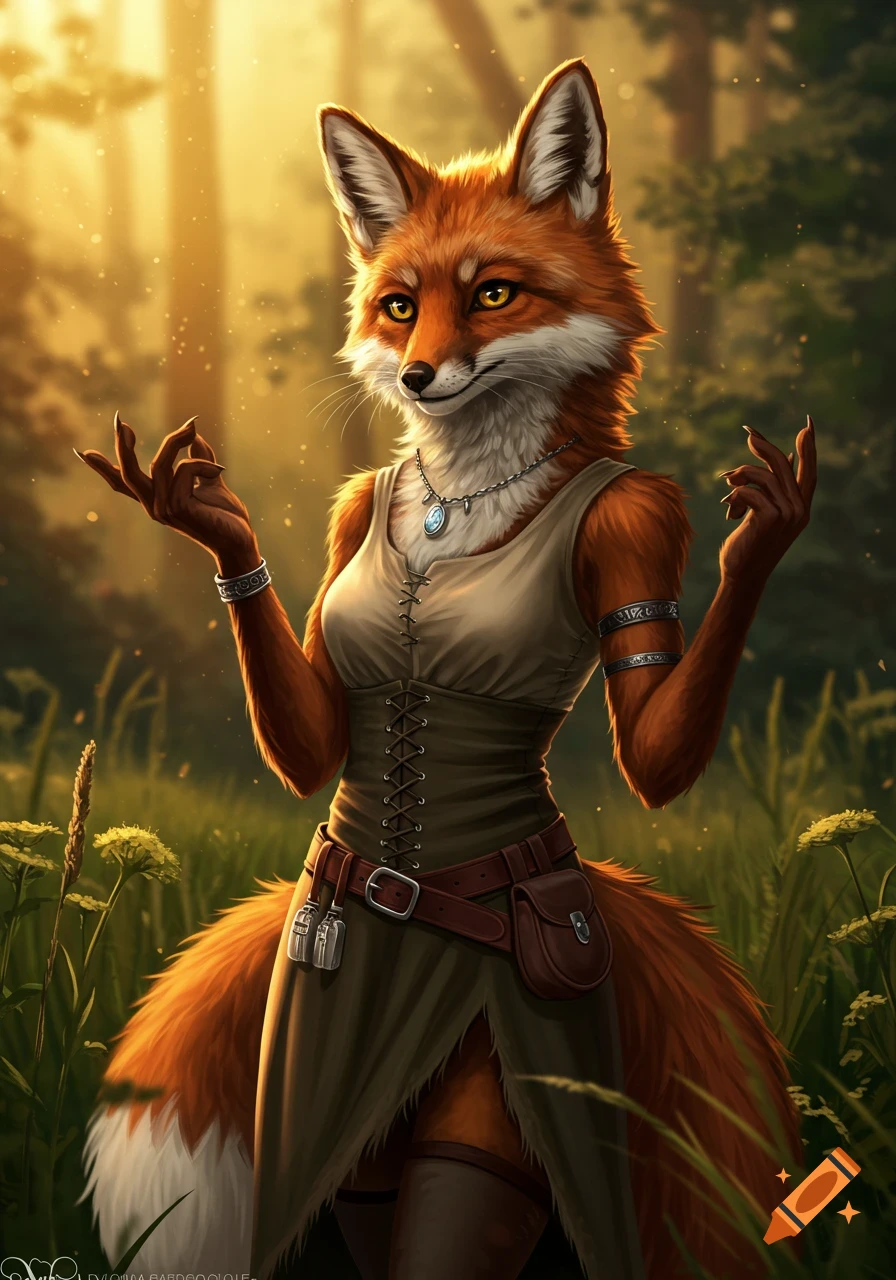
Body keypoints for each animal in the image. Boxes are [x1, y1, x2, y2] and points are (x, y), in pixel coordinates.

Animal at [79, 58, 815, 1280]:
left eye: (493, 294)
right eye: (398, 303)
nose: (421, 376)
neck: (458, 497)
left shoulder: (637, 525)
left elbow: (652, 746)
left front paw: (764, 536)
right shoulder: (344, 529)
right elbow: (316, 727)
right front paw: (212, 522)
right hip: (357, 1150)